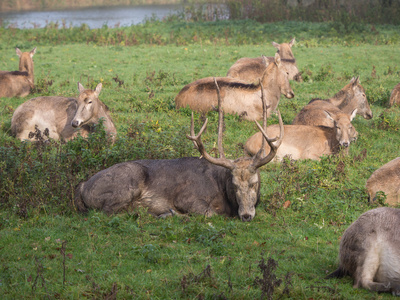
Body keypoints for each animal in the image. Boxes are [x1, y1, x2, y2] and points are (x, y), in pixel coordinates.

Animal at [73, 78, 282, 221]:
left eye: (255, 183)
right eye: (235, 184)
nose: (246, 215)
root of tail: (82, 186)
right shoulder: (187, 197)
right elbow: (210, 215)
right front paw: (173, 213)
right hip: (126, 183)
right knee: (109, 211)